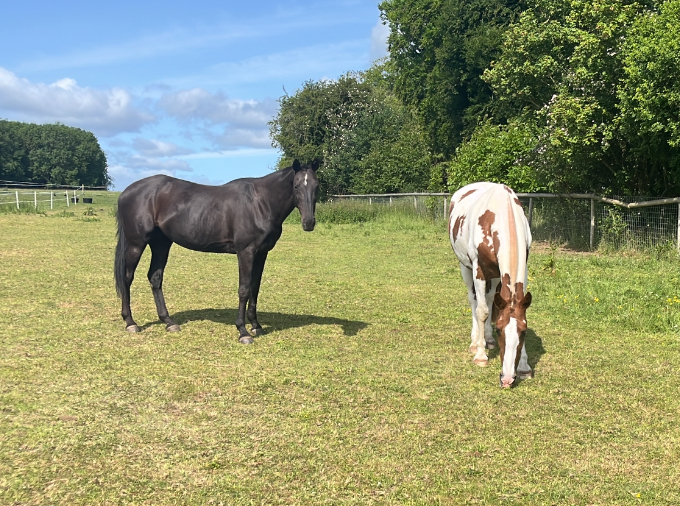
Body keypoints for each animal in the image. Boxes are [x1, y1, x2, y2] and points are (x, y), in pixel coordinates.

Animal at [114, 159, 319, 344]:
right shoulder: (246, 252)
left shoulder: (261, 254)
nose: (308, 223)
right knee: (127, 277)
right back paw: (130, 322)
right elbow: (244, 289)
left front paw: (256, 326)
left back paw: (169, 322)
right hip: (136, 243)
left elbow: (255, 288)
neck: (260, 203)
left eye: (316, 186)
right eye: (296, 186)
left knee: (155, 278)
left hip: (161, 244)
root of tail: (126, 192)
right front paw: (243, 331)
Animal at [448, 182, 533, 387]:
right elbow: (482, 312)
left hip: (495, 277)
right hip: (465, 267)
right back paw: (475, 342)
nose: (507, 379)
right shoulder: (479, 269)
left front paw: (524, 366)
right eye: (499, 329)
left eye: (524, 332)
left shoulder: (522, 270)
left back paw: (487, 339)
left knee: (488, 298)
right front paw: (480, 355)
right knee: (474, 301)